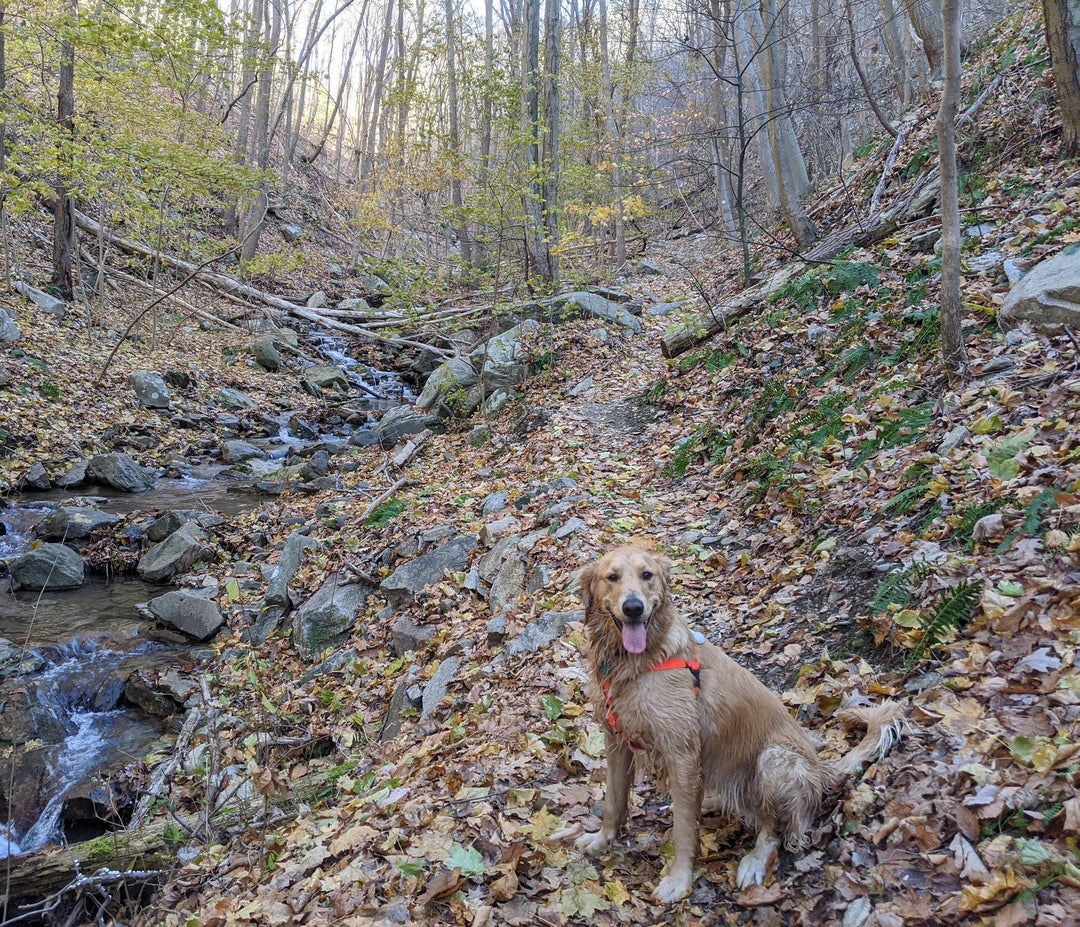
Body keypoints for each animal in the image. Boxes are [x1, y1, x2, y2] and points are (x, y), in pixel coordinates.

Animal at [574, 544, 902, 898]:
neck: (639, 662)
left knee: (775, 828)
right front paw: (601, 841)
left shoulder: (682, 752)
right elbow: (613, 801)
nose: (633, 608)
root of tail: (819, 769)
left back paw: (754, 859)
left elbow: (684, 831)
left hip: (773, 760)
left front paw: (679, 880)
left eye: (646, 575)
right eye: (612, 577)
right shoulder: (616, 741)